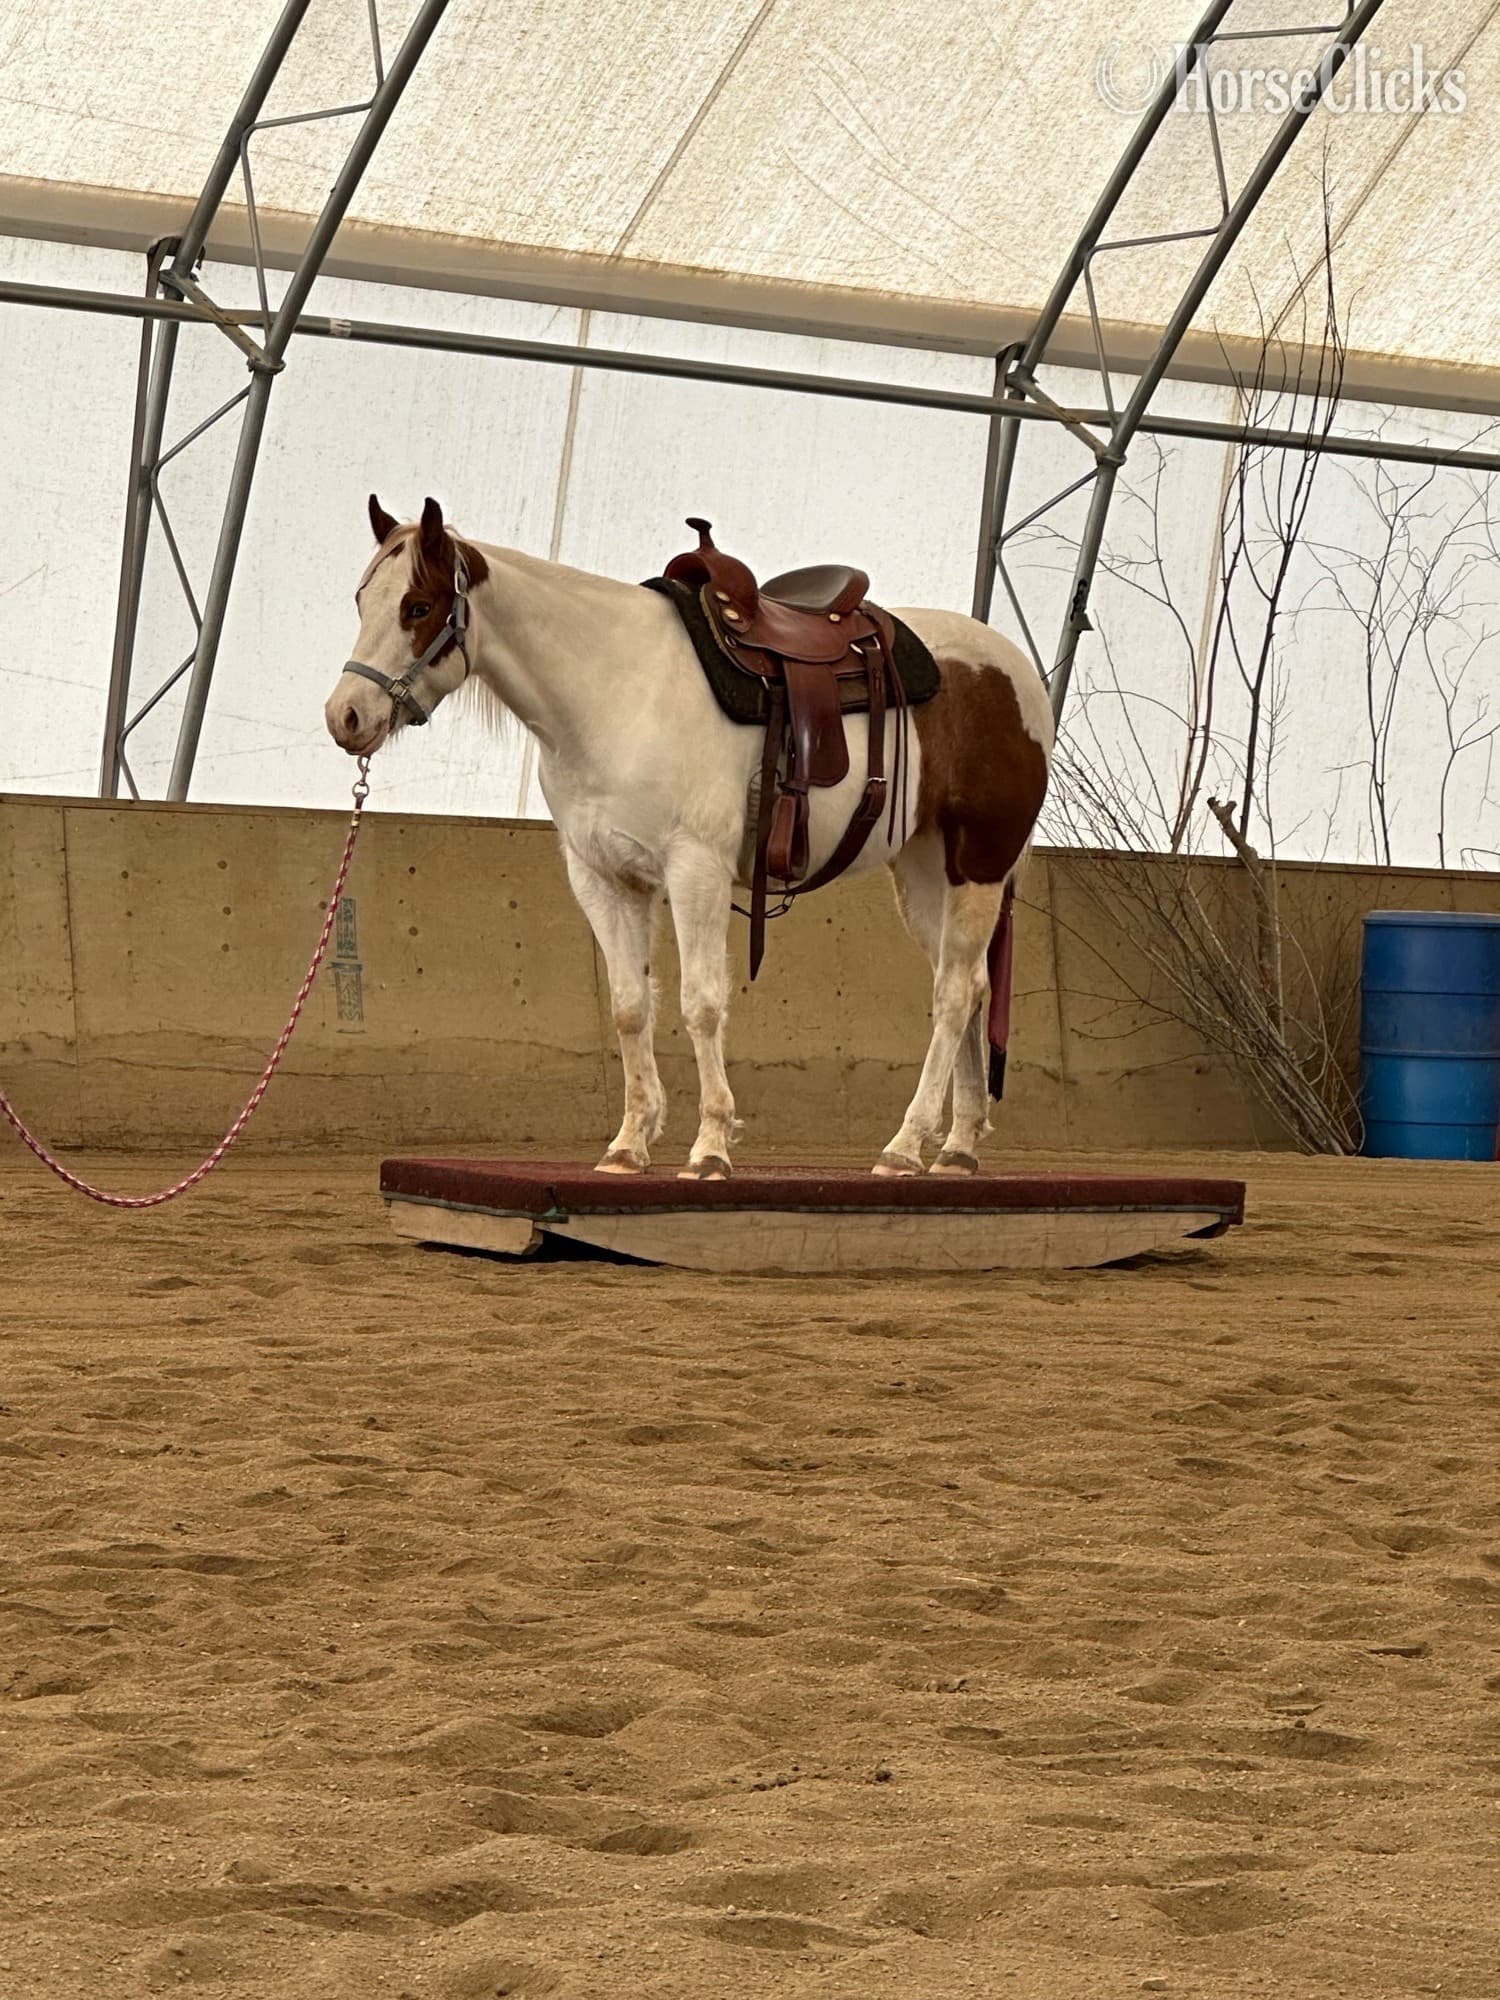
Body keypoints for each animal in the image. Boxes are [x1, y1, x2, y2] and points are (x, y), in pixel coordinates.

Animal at [325, 496, 1053, 1180]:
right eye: (361, 601)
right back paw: (956, 1146)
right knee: (969, 985)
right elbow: (629, 1007)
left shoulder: (694, 868)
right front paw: (629, 1144)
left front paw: (710, 1149)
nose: (345, 717)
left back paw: (904, 1146)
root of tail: (1015, 671)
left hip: (979, 863)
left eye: (417, 606)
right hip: (926, 870)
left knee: (953, 992)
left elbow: (700, 1003)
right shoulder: (603, 877)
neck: (614, 692)